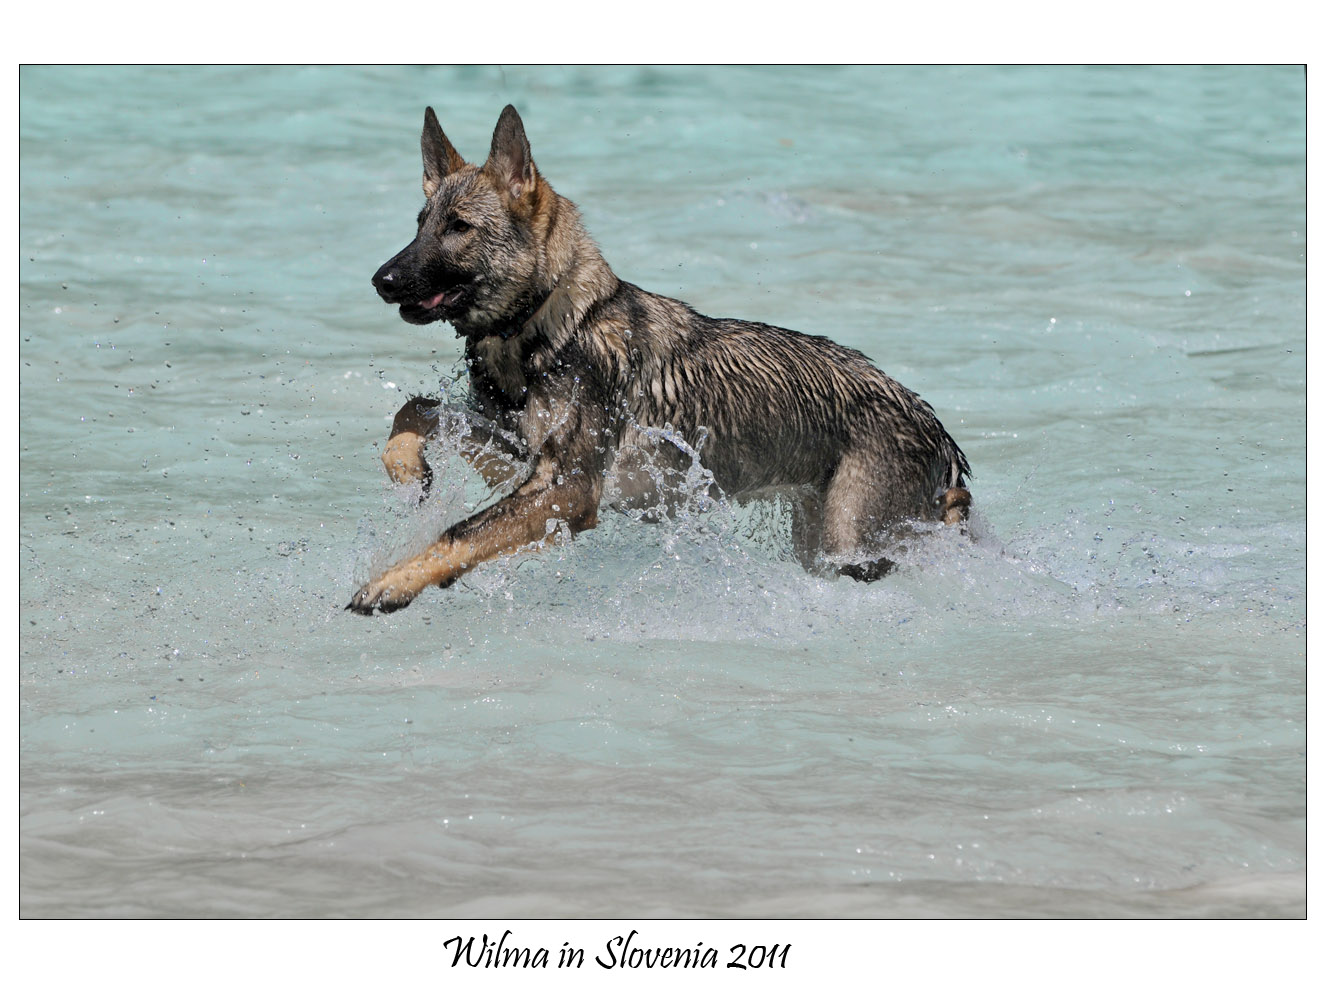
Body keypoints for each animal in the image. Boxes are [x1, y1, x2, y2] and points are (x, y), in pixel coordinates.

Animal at [347, 110, 971, 615]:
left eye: (459, 227)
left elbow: (460, 532)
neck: (553, 324)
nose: (381, 280)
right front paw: (406, 467)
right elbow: (417, 409)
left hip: (852, 543)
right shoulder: (523, 459)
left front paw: (391, 582)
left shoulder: (568, 489)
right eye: (420, 223)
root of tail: (938, 430)